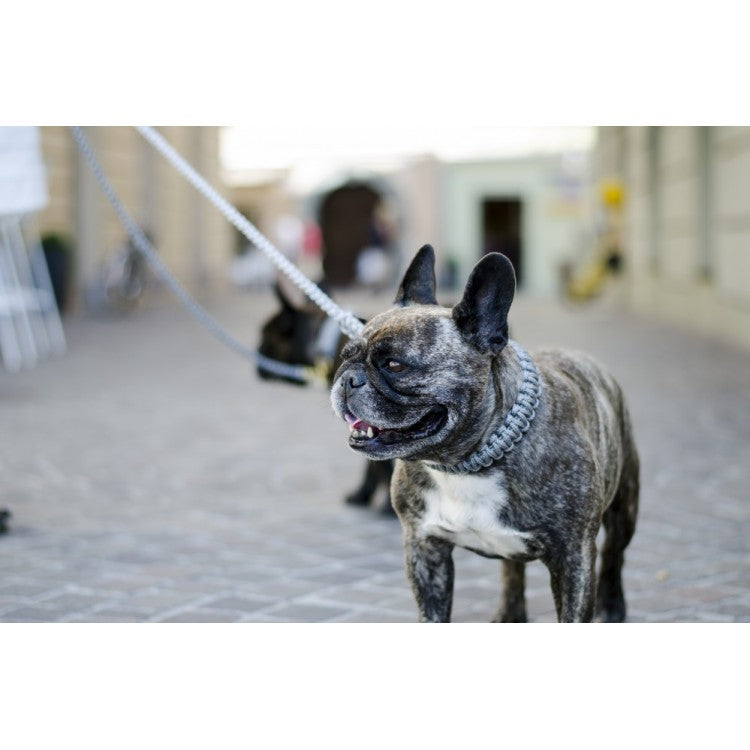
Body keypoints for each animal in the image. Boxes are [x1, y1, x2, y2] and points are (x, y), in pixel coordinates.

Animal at [258, 284, 396, 516]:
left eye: (264, 337)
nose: (257, 362)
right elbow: (372, 465)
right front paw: (362, 495)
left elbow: (384, 466)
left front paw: (387, 506)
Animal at [334, 247, 640, 624]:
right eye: (345, 356)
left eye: (395, 365)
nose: (348, 379)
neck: (464, 463)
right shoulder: (423, 547)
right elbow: (433, 614)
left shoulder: (574, 555)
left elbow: (574, 611)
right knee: (513, 570)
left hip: (624, 507)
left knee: (614, 554)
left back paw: (612, 607)